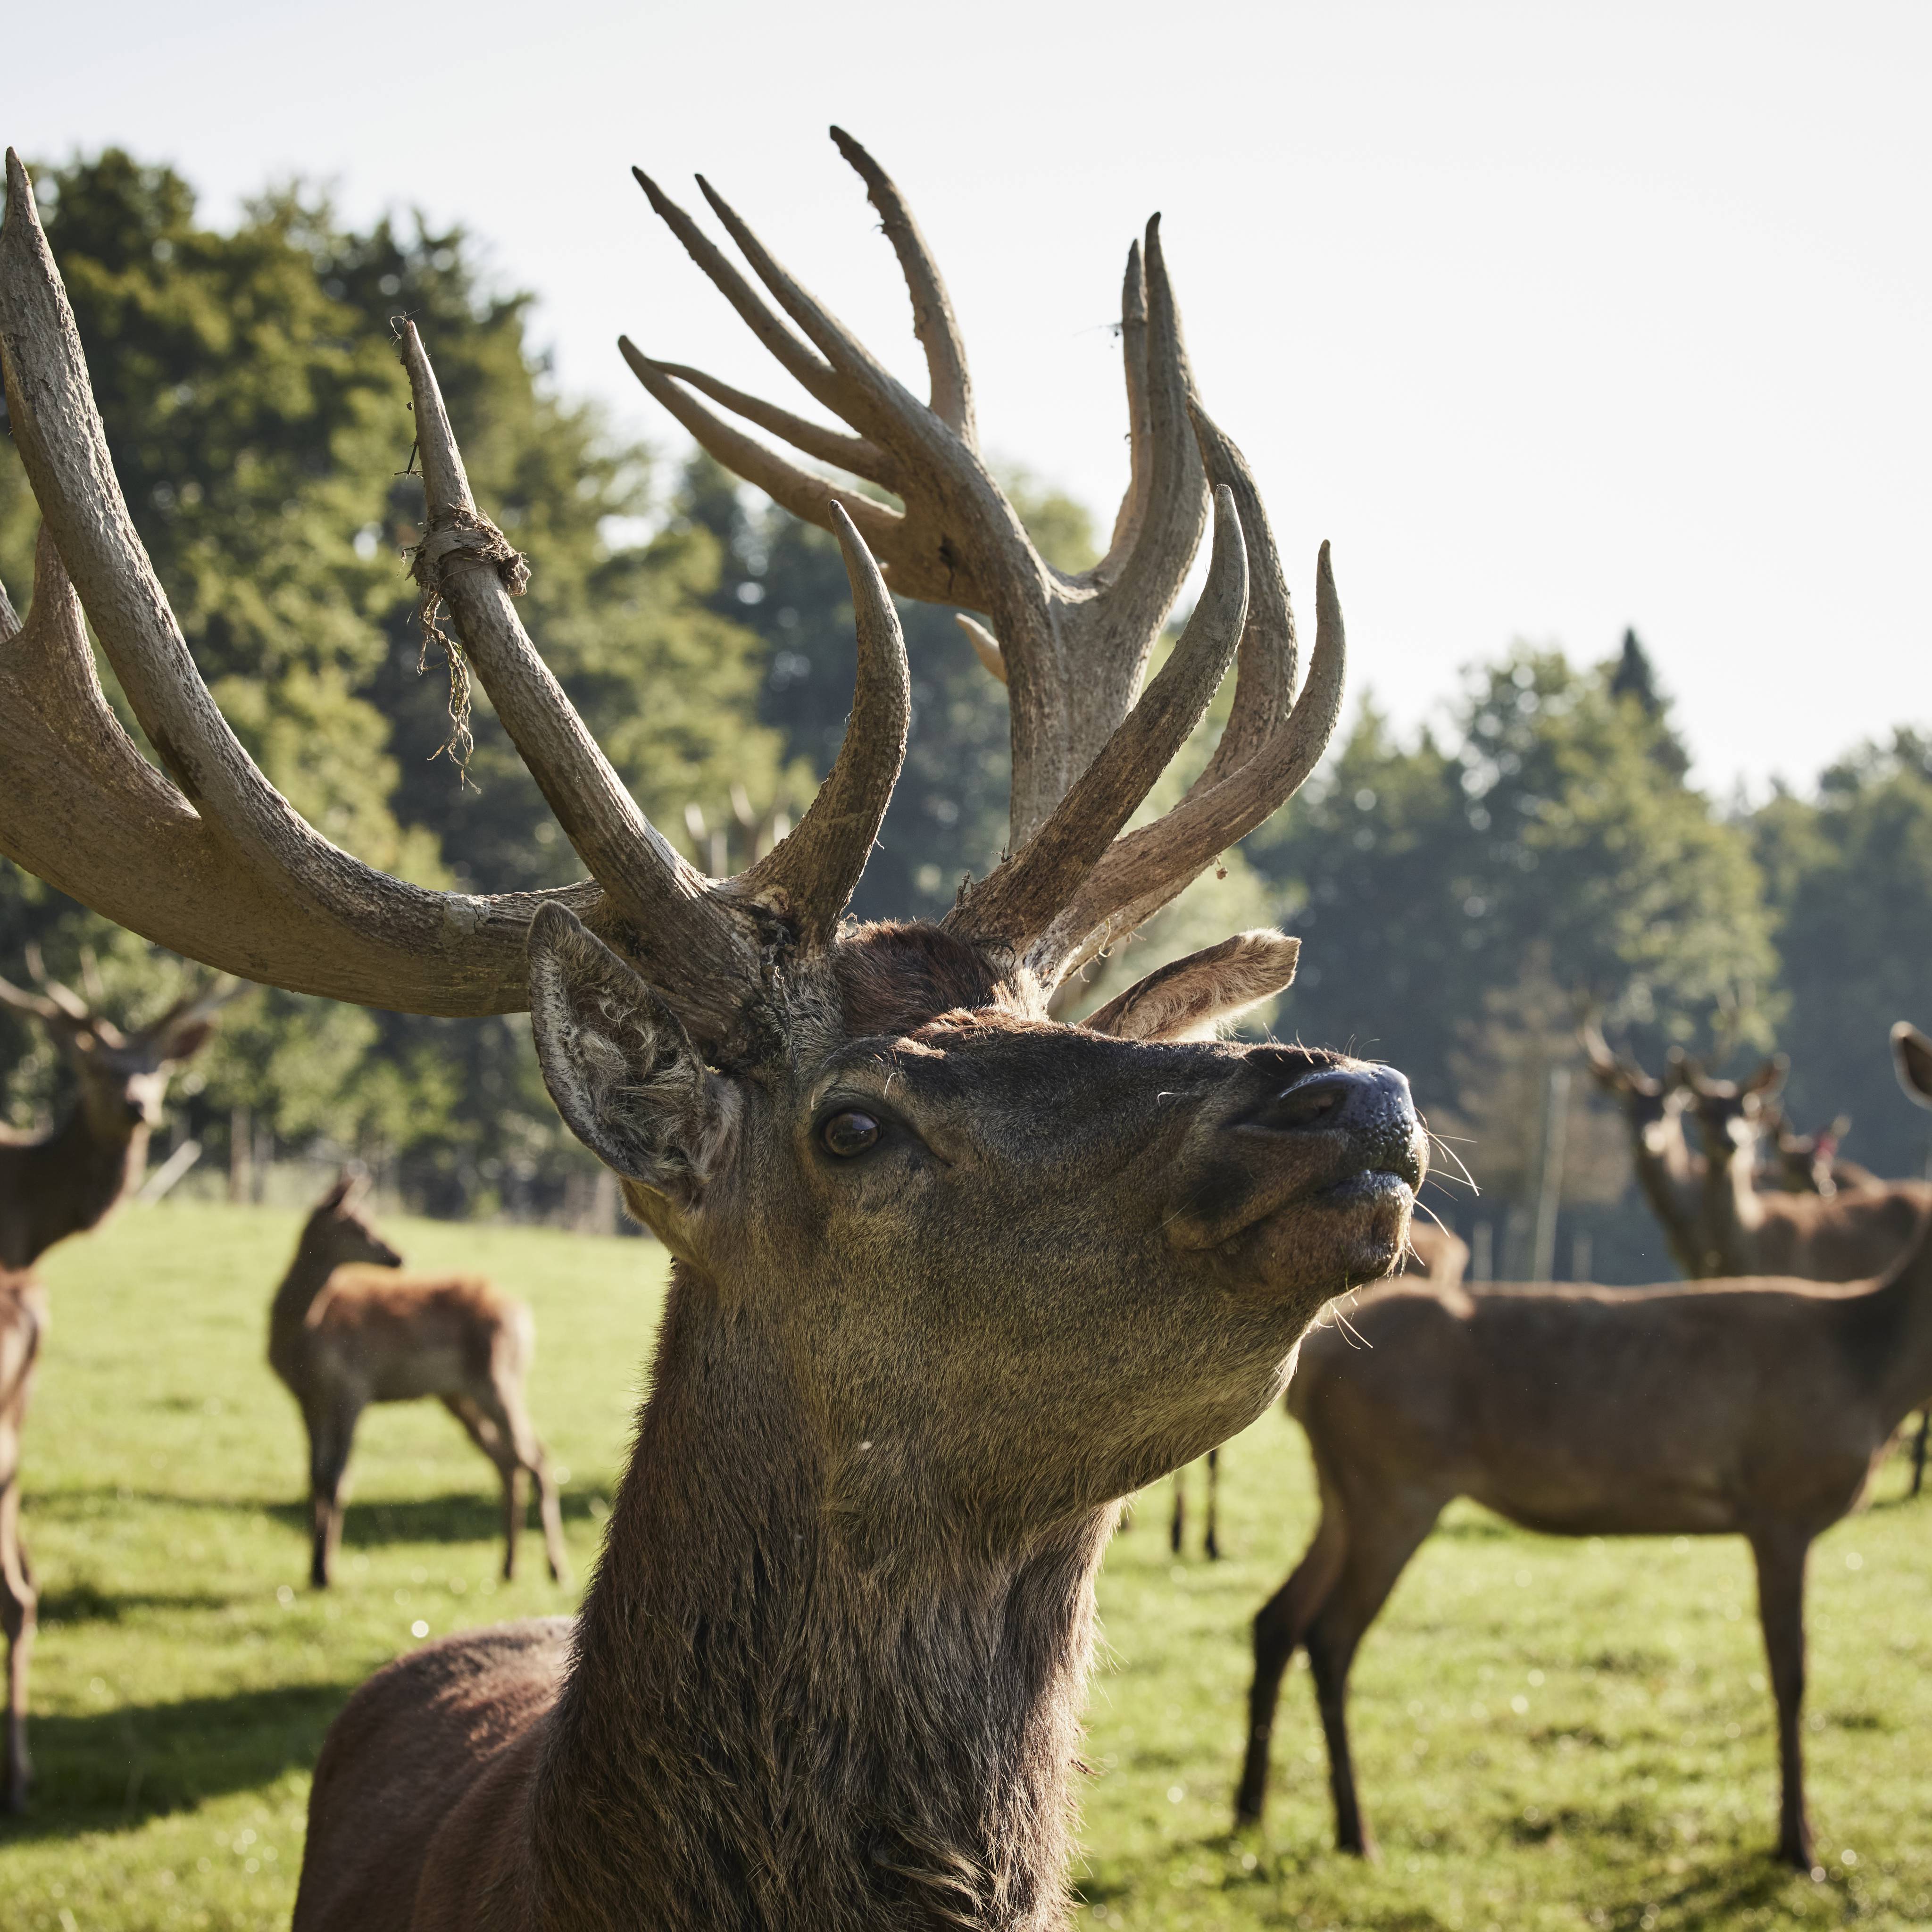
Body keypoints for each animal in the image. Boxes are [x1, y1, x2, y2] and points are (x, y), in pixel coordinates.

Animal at [274, 1166, 572, 1592]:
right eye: (356, 1224)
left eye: (369, 1220)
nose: (398, 1257)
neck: (303, 1335)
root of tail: (523, 1315)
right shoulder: (307, 1399)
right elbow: (315, 1476)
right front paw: (314, 1569)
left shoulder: (353, 1388)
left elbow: (337, 1478)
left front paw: (325, 1573)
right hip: (459, 1395)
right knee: (510, 1459)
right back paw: (509, 1567)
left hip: (499, 1379)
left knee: (535, 1457)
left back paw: (556, 1569)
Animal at [1229, 1020, 1932, 1878]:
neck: (1870, 1371)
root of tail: (1317, 1363)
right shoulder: (1780, 1501)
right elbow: (1790, 1674)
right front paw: (1797, 1845)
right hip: (1396, 1483)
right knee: (1329, 1636)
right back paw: (1353, 1831)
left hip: (1343, 1489)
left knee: (1277, 1616)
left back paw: (1250, 1810)